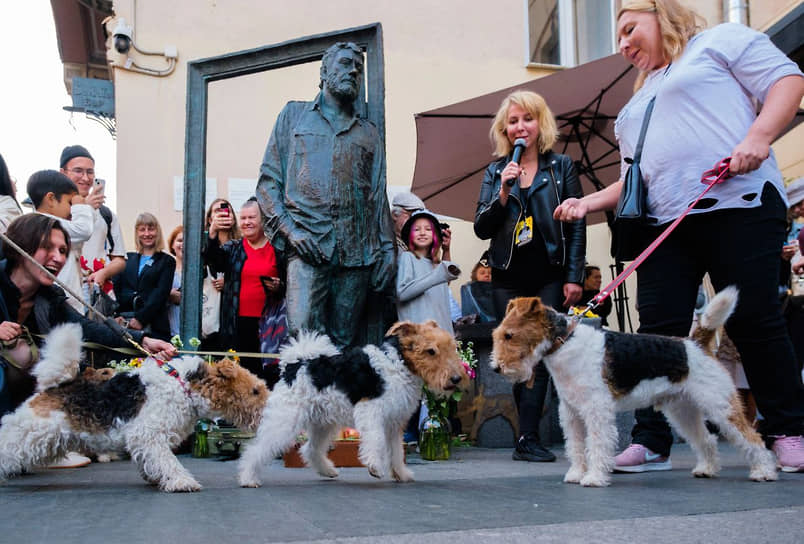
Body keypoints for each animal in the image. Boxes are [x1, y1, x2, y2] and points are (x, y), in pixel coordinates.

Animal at [0, 326, 270, 490]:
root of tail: (54, 386)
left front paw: (157, 478)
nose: (268, 410)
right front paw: (183, 482)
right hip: (29, 434)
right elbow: (169, 461)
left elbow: (153, 461)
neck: (184, 385)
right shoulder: (148, 434)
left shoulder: (148, 440)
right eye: (255, 390)